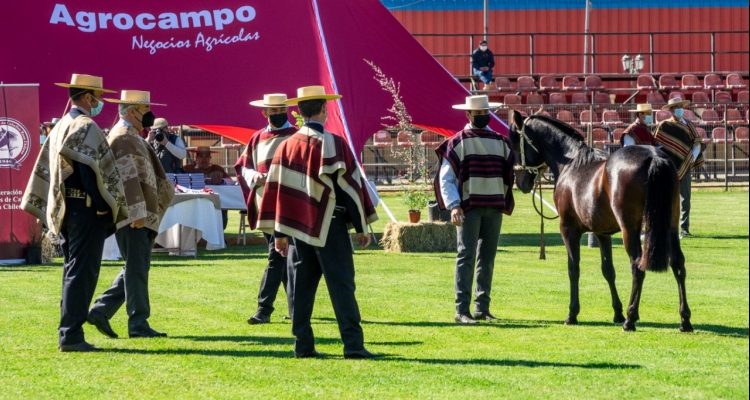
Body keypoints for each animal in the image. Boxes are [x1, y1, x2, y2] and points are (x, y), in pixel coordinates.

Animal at [512, 111, 692, 332]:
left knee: (637, 266)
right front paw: (617, 312)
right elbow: (608, 270)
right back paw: (684, 319)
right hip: (671, 226)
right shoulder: (602, 233)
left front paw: (572, 314)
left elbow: (573, 268)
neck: (571, 164)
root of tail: (654, 157)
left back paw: (630, 320)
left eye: (515, 143)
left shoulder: (568, 229)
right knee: (678, 264)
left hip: (629, 229)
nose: (521, 181)